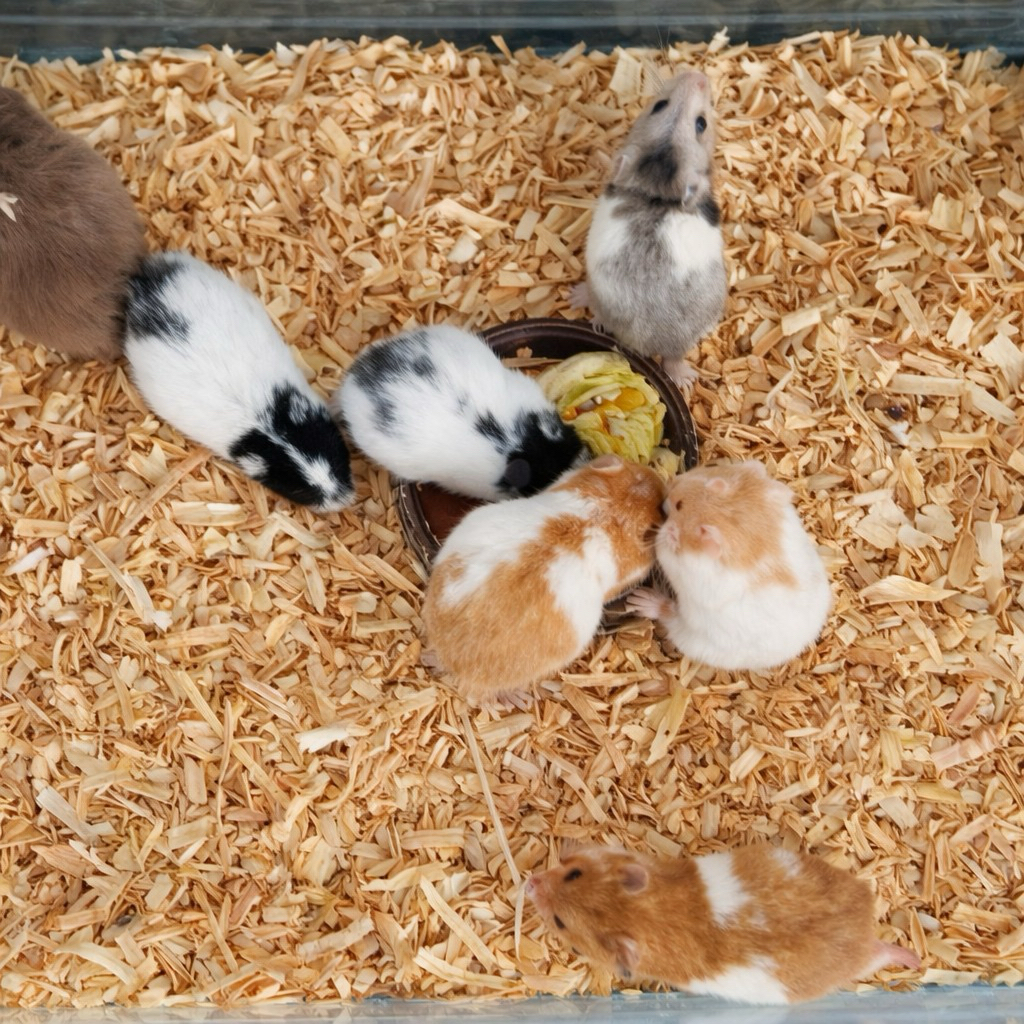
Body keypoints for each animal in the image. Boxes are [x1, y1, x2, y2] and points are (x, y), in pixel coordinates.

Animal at [526, 844, 921, 1005]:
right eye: (574, 874)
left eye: (560, 923)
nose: (529, 882)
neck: (644, 916)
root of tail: (863, 935)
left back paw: (911, 959)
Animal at [626, 461, 831, 671]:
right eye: (707, 470)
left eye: (679, 505)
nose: (667, 490)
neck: (731, 522)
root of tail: (801, 644)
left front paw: (669, 533)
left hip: (691, 632)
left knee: (669, 615)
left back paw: (641, 600)